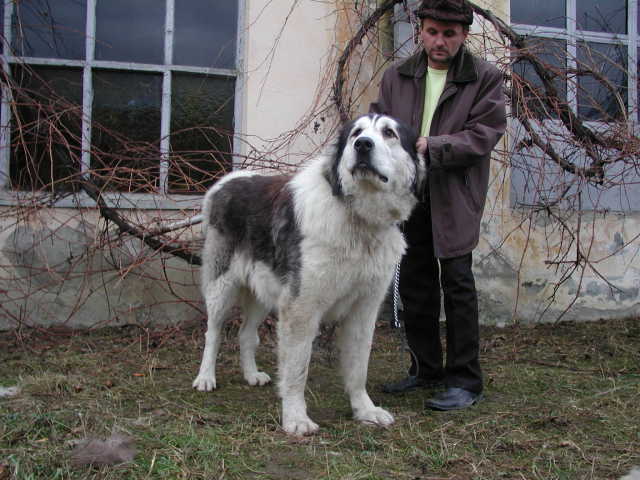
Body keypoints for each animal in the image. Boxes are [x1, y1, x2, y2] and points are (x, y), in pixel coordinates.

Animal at [192, 113, 428, 436]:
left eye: (389, 133)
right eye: (356, 133)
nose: (363, 145)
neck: (357, 218)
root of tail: (227, 182)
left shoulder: (363, 311)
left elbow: (358, 368)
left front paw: (364, 410)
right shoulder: (301, 308)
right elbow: (296, 370)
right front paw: (295, 418)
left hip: (264, 292)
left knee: (246, 333)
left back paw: (251, 375)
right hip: (222, 287)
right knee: (212, 333)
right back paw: (205, 377)